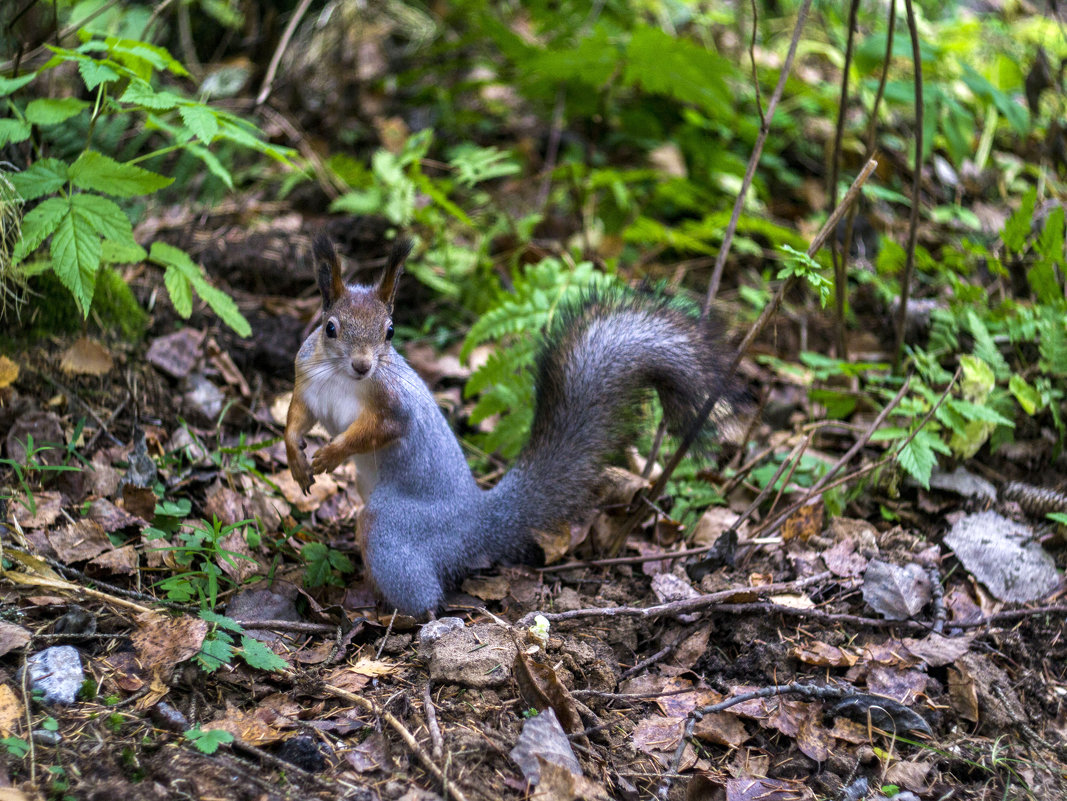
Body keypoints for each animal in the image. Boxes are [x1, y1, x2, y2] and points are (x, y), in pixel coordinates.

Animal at [285, 234, 725, 618]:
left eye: (390, 331)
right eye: (330, 327)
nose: (363, 365)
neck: (342, 377)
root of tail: (479, 520)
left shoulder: (394, 405)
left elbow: (380, 429)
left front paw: (332, 453)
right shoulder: (306, 379)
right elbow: (296, 418)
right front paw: (297, 459)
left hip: (397, 527)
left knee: (419, 587)